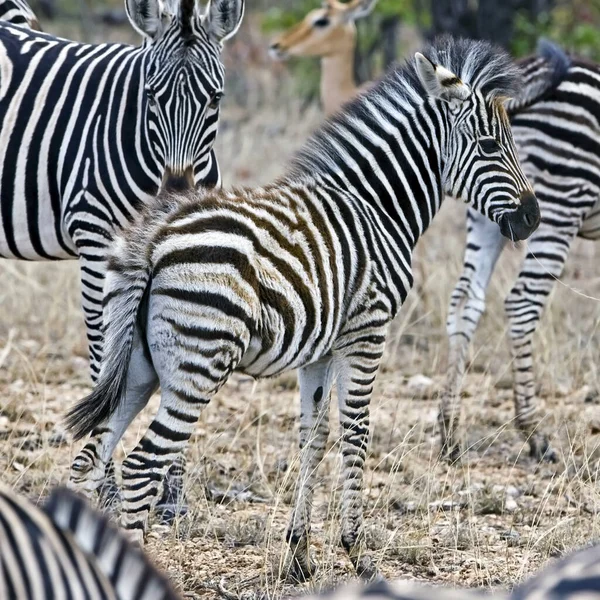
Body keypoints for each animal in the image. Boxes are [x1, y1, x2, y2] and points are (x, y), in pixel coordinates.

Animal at [65, 38, 540, 580]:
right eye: (489, 146)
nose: (532, 218)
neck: (377, 207)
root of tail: (155, 238)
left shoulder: (321, 349)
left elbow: (313, 437)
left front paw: (299, 554)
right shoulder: (366, 332)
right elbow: (356, 433)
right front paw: (357, 552)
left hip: (137, 365)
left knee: (91, 455)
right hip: (197, 365)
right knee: (143, 463)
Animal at [436, 41, 600, 464]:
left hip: (491, 205)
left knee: (464, 299)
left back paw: (449, 431)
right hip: (558, 204)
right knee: (523, 303)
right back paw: (533, 433)